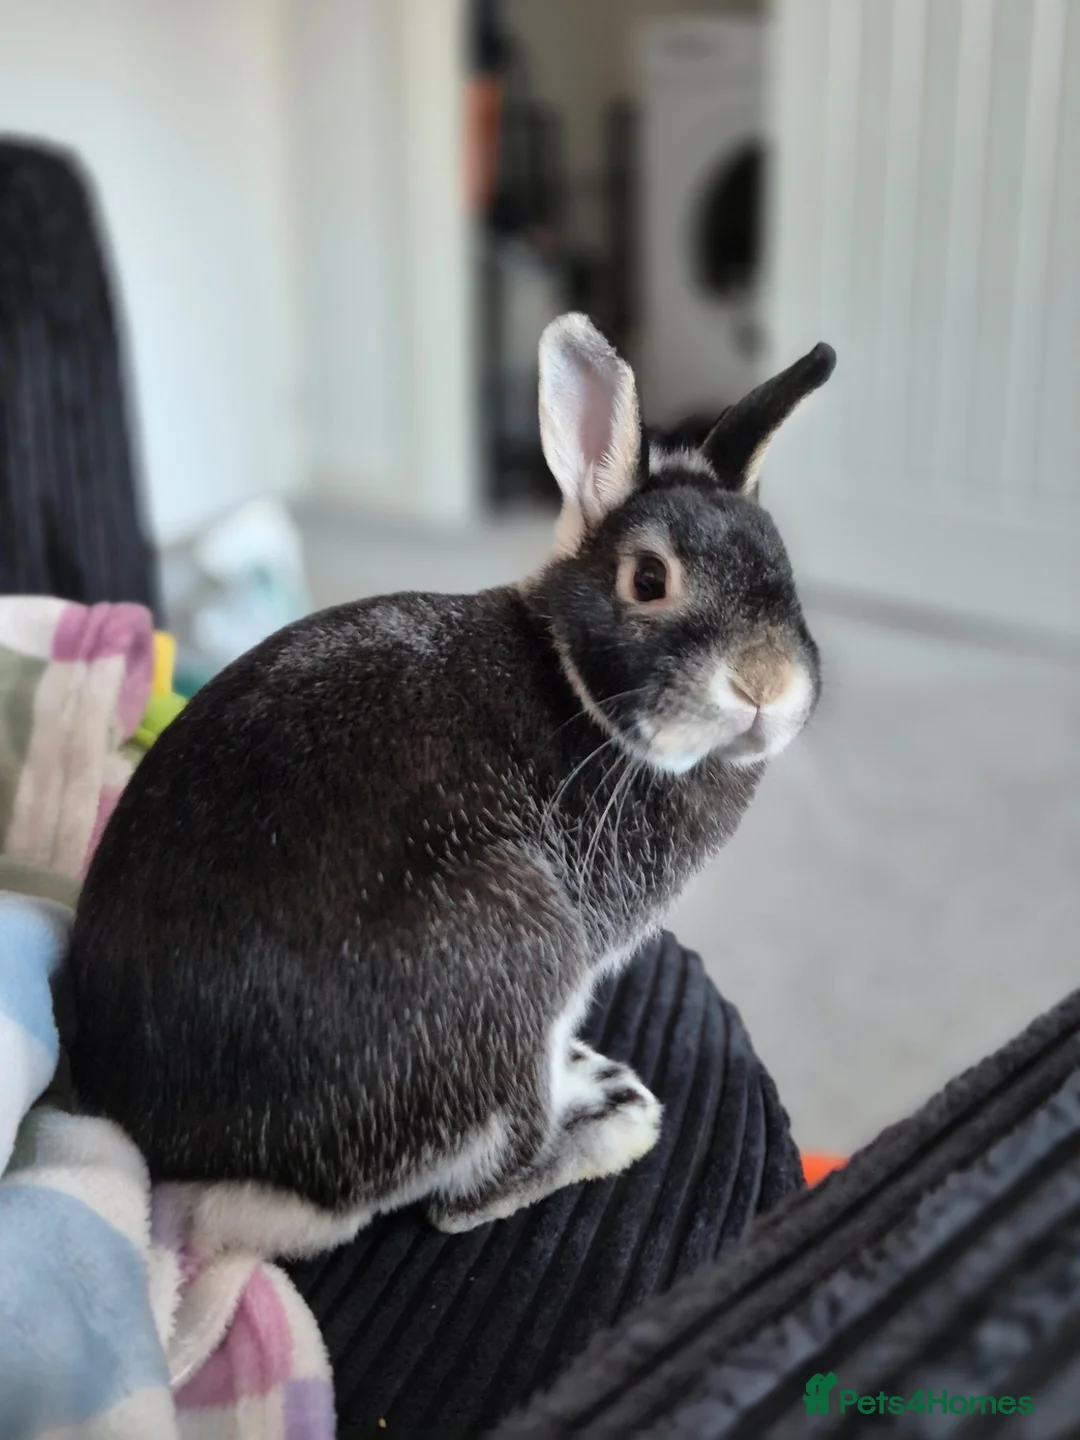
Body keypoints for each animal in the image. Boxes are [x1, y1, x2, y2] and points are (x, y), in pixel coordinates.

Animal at [68, 314, 835, 1258]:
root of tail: (189, 1168)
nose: (766, 684)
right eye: (649, 580)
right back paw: (609, 1124)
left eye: (783, 567)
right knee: (466, 1197)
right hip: (513, 947)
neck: (571, 684)